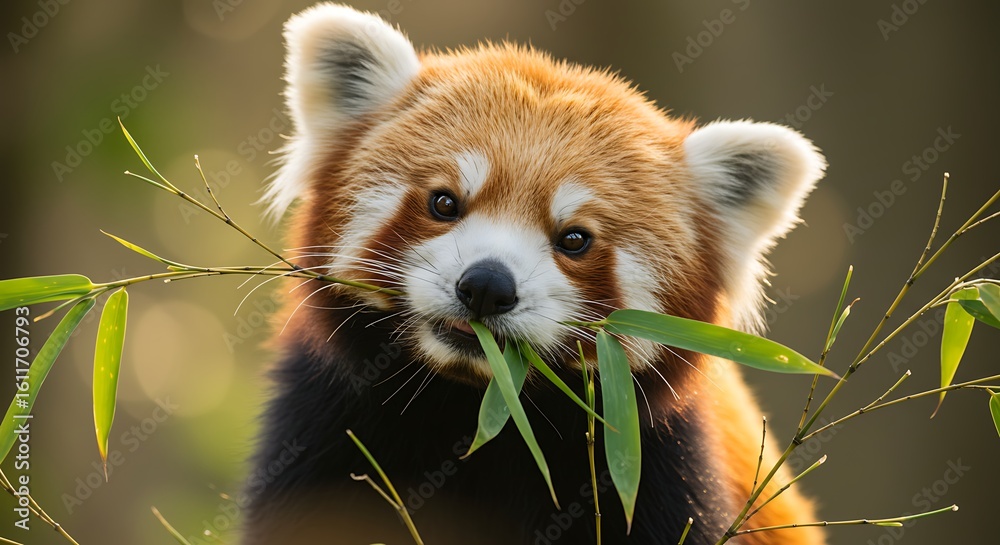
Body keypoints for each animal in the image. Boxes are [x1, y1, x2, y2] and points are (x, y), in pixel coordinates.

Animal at [243, 4, 827, 544]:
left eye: (574, 239)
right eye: (444, 202)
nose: (486, 286)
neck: (473, 409)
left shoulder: (657, 467)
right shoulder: (325, 429)